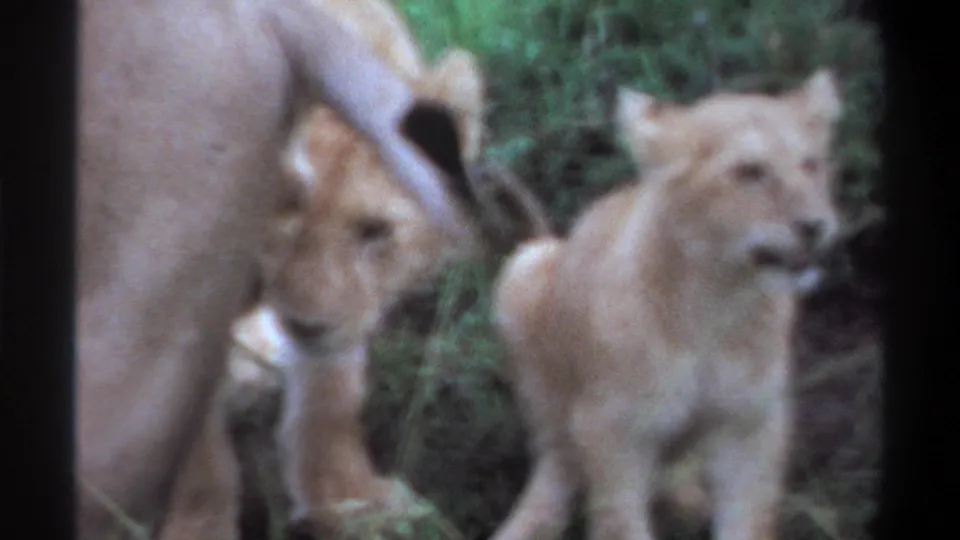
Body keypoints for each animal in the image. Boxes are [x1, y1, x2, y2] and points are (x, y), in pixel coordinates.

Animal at [77, 0, 487, 537]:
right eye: (278, 231)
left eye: (373, 231)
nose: (305, 325)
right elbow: (202, 450)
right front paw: (202, 524)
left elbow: (332, 394)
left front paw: (349, 502)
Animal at [488, 69, 843, 540]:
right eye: (749, 171)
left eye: (810, 165)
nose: (816, 226)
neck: (718, 300)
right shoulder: (613, 427)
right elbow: (620, 522)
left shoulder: (750, 425)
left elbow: (748, 519)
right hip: (526, 273)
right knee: (556, 451)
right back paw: (531, 521)